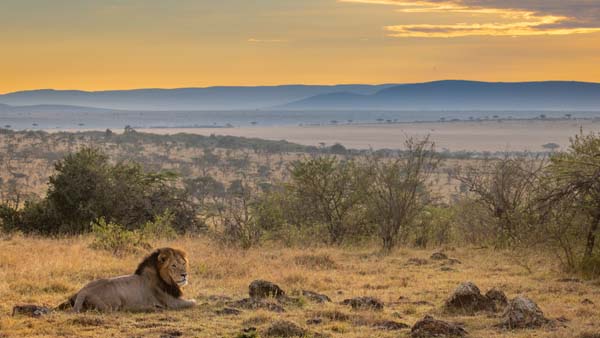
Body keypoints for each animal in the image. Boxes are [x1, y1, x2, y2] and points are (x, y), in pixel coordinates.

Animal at [57, 247, 196, 312]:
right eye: (173, 265)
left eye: (183, 263)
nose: (184, 275)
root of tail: (83, 292)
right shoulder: (171, 302)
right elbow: (194, 302)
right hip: (114, 305)